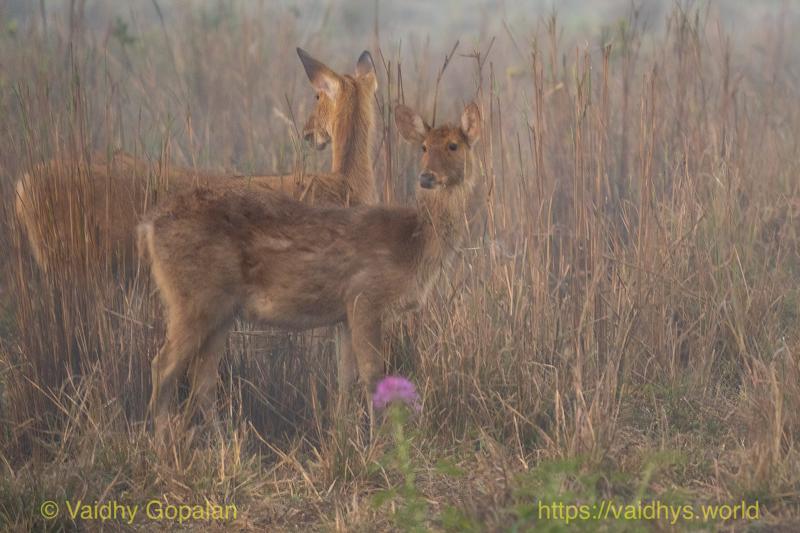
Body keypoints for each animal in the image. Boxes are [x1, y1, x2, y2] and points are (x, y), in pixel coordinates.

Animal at [138, 102, 483, 436]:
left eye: (453, 145)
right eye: (424, 147)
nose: (427, 177)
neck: (413, 248)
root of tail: (150, 225)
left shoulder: (345, 314)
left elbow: (346, 378)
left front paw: (343, 436)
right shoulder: (365, 297)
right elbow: (373, 377)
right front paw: (378, 443)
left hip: (220, 309)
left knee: (203, 378)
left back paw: (219, 441)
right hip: (193, 297)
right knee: (162, 366)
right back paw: (163, 443)